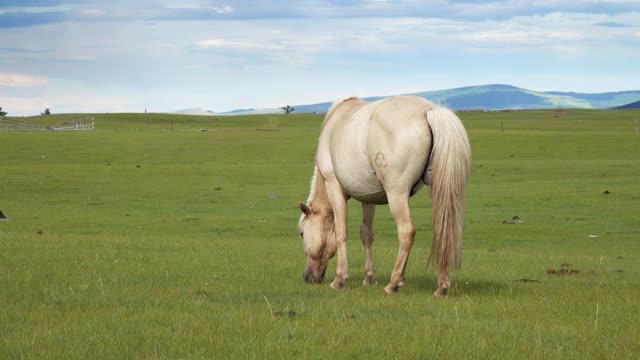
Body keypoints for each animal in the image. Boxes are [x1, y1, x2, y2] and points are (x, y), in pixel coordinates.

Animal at [296, 95, 470, 296]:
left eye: (302, 233)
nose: (307, 277)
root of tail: (429, 110)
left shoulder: (334, 187)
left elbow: (341, 233)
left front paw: (339, 279)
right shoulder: (367, 197)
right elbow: (366, 234)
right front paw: (369, 278)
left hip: (397, 193)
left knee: (406, 231)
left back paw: (393, 284)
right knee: (444, 230)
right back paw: (441, 286)